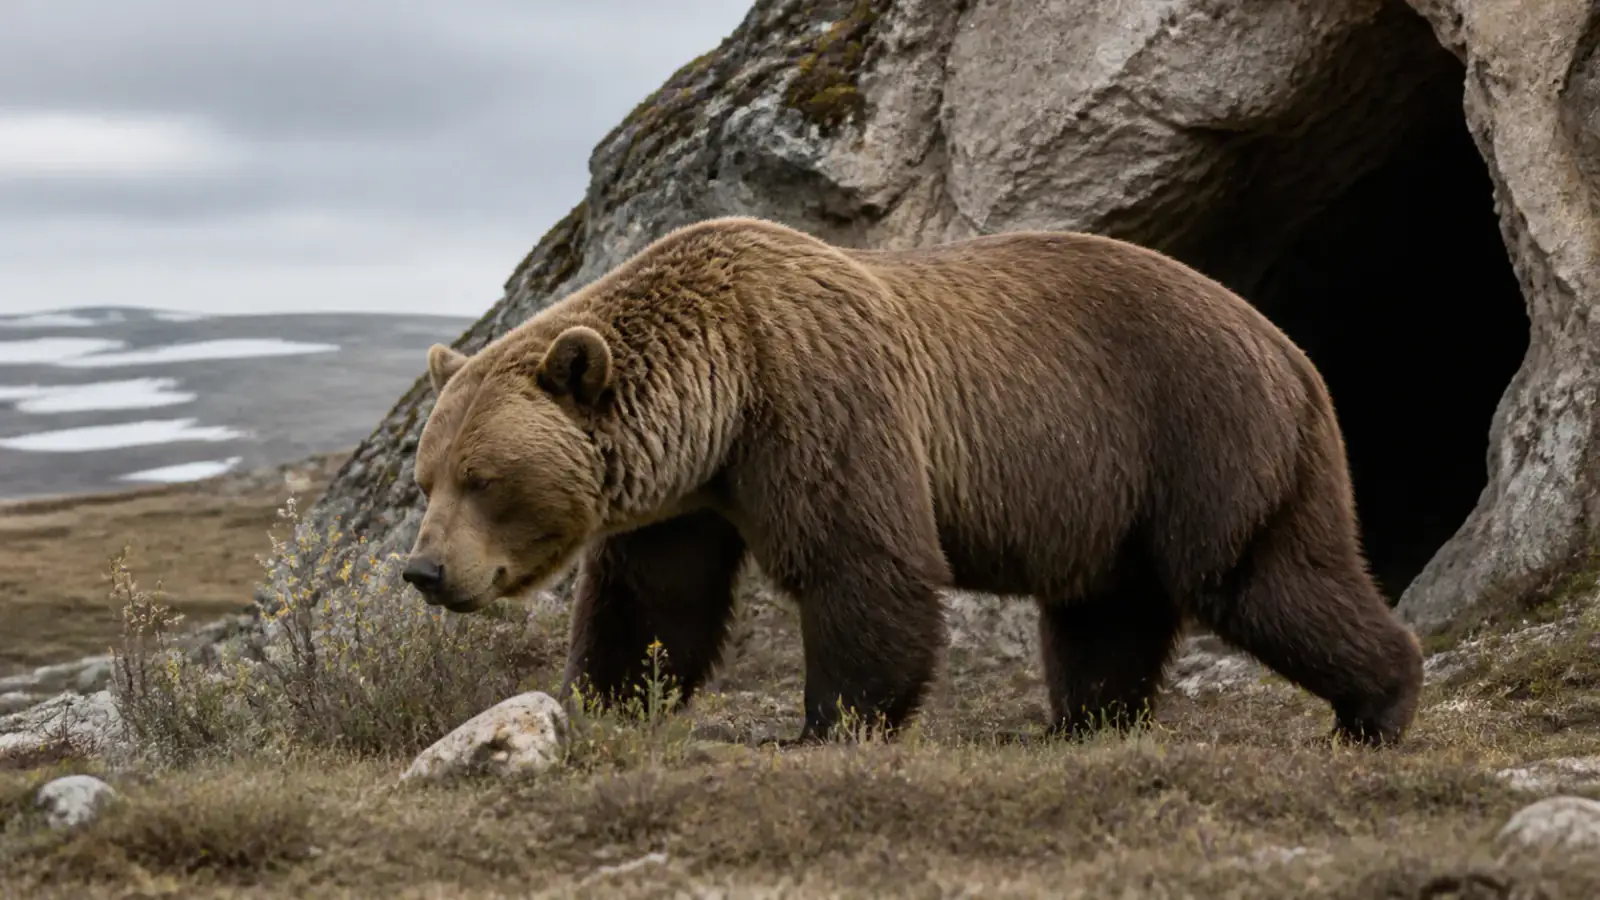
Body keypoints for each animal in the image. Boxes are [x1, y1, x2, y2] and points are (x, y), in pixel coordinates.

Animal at [402, 215, 1425, 748]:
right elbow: (655, 602)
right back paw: (1084, 722)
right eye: (427, 476)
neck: (722, 392)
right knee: (1105, 613)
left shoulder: (821, 406)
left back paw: (1377, 705)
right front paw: (606, 700)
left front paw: (830, 725)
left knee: (1263, 579)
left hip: (1202, 435)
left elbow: (863, 566)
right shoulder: (690, 496)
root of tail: (1293, 352)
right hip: (1110, 493)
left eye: (483, 476)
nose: (423, 571)